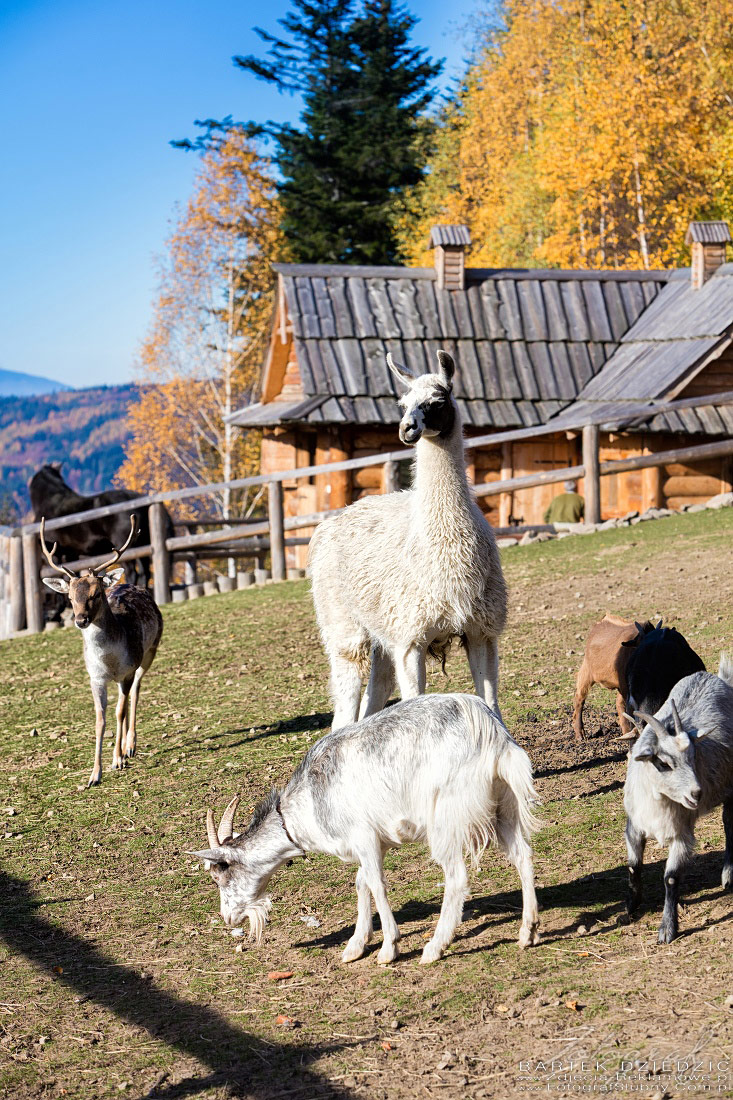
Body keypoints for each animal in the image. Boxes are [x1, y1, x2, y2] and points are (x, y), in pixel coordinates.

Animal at [39, 512, 162, 783]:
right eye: (70, 597)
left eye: (95, 594)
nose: (80, 620)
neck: (110, 660)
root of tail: (133, 585)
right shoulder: (95, 677)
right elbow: (100, 720)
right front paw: (94, 774)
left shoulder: (127, 671)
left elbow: (119, 712)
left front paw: (117, 759)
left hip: (149, 652)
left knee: (135, 692)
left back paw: (129, 746)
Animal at [191, 695, 539, 963]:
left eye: (219, 874)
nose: (228, 917)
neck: (307, 804)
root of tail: (492, 734)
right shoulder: (371, 843)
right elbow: (361, 883)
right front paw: (356, 946)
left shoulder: (364, 836)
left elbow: (377, 884)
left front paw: (388, 948)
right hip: (504, 806)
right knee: (522, 855)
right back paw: (528, 931)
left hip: (447, 816)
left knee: (456, 876)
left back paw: (434, 947)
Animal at [305, 352, 506, 730]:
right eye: (402, 403)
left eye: (437, 400)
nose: (406, 429)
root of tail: (333, 520)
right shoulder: (412, 638)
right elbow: (414, 702)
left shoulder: (481, 629)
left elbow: (491, 702)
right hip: (342, 619)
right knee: (347, 692)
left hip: (384, 626)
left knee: (377, 689)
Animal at [620, 651, 730, 946]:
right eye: (663, 763)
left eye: (694, 756)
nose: (696, 793)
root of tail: (715, 677)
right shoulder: (634, 825)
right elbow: (634, 867)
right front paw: (631, 908)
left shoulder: (682, 833)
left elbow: (670, 879)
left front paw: (668, 928)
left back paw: (728, 875)